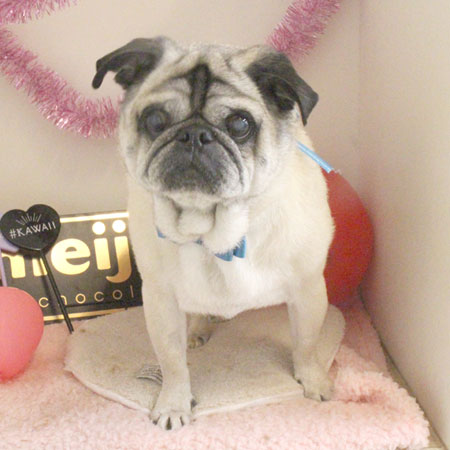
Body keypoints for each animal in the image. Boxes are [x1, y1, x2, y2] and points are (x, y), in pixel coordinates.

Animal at [93, 36, 334, 430]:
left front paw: (313, 381)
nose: (194, 135)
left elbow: (307, 344)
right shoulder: (160, 302)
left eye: (239, 124)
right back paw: (197, 331)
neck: (214, 231)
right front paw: (174, 404)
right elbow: (172, 363)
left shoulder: (308, 290)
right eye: (155, 120)